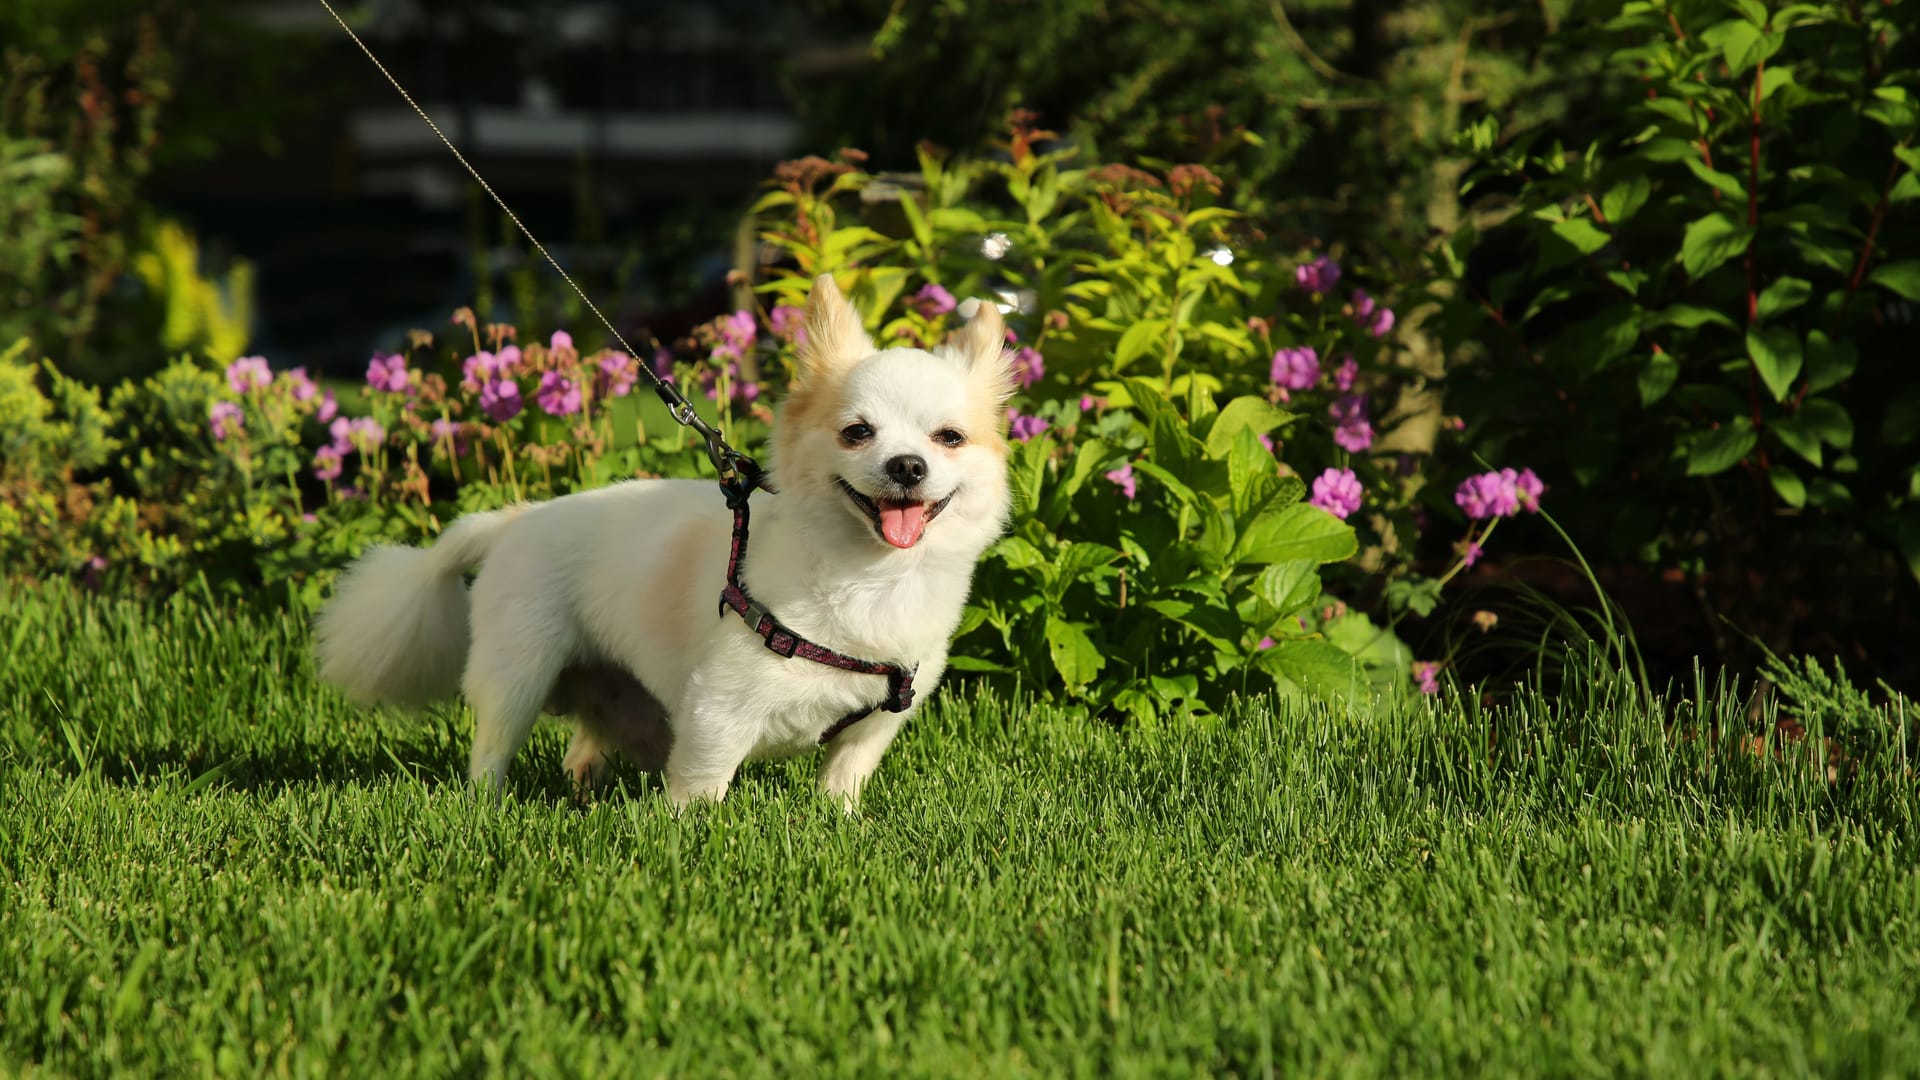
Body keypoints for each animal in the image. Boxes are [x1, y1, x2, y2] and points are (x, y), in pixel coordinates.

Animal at [311, 272, 1021, 803]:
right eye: (857, 433)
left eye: (948, 438)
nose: (908, 466)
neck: (870, 580)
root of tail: (514, 519)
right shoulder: (718, 710)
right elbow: (702, 787)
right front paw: (694, 840)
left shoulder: (872, 727)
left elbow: (842, 782)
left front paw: (836, 825)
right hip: (517, 673)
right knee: (490, 751)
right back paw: (484, 808)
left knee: (585, 741)